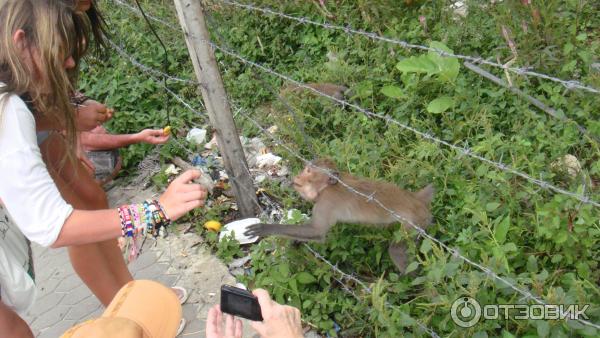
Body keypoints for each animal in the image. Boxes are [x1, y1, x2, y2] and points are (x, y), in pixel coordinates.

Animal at [245, 158, 436, 272]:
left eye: (308, 172)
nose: (298, 176)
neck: (327, 187)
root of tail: (417, 200)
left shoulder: (326, 202)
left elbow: (317, 232)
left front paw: (266, 228)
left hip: (416, 222)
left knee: (396, 250)